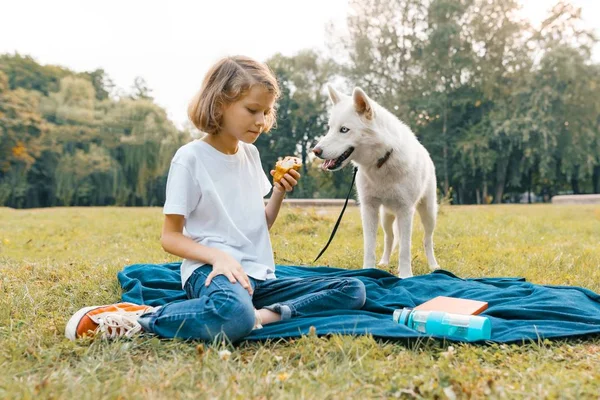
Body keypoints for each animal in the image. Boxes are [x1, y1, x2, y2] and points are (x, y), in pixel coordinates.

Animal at [314, 84, 440, 278]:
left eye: (344, 130)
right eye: (329, 128)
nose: (315, 151)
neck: (381, 162)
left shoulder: (406, 210)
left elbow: (405, 249)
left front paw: (405, 276)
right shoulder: (369, 209)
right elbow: (370, 246)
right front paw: (368, 270)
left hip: (428, 213)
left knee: (427, 239)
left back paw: (433, 265)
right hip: (386, 217)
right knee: (390, 238)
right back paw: (384, 262)